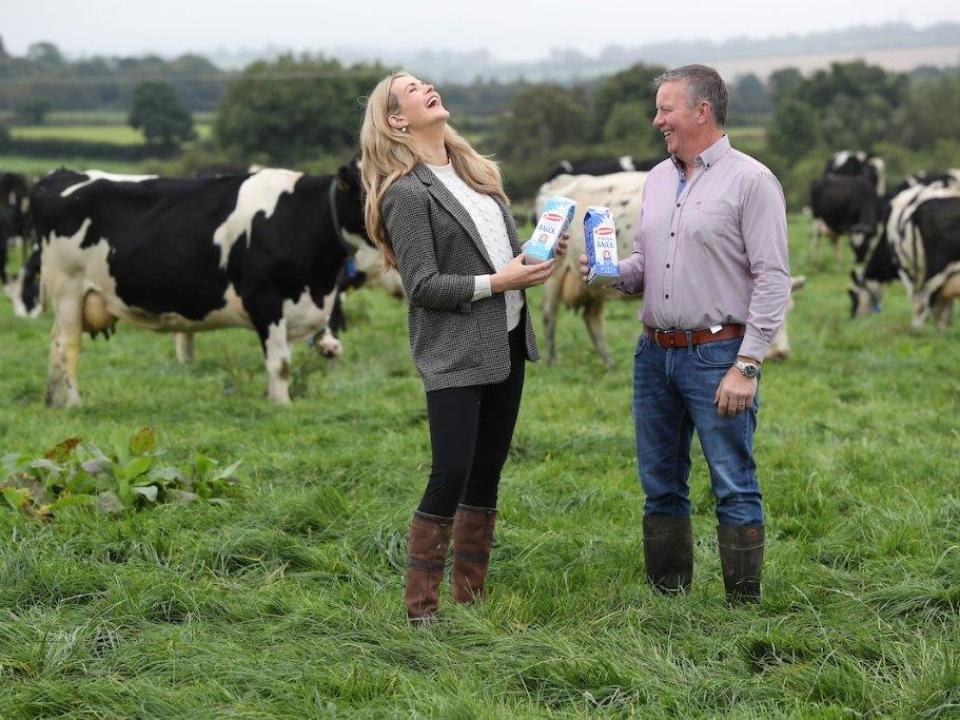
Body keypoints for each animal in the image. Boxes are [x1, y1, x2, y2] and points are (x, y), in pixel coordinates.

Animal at [30, 165, 368, 410]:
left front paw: (274, 399)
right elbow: (280, 364)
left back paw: (53, 400)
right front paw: (283, 406)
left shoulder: (295, 304)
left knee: (54, 341)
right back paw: (74, 403)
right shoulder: (265, 300)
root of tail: (58, 175)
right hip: (68, 289)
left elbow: (282, 360)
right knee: (68, 346)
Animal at [848, 181, 960, 328]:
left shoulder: (904, 267)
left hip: (934, 269)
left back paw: (916, 328)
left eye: (852, 294)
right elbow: (945, 307)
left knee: (922, 299)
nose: (852, 318)